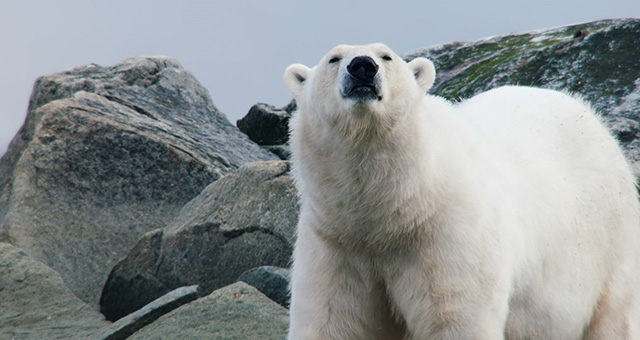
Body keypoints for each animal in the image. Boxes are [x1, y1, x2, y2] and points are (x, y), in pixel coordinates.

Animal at [284, 43, 640, 340]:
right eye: (334, 58)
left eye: (386, 56)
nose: (362, 67)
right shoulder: (336, 243)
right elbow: (333, 320)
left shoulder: (448, 234)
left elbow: (455, 316)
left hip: (610, 240)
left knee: (613, 317)